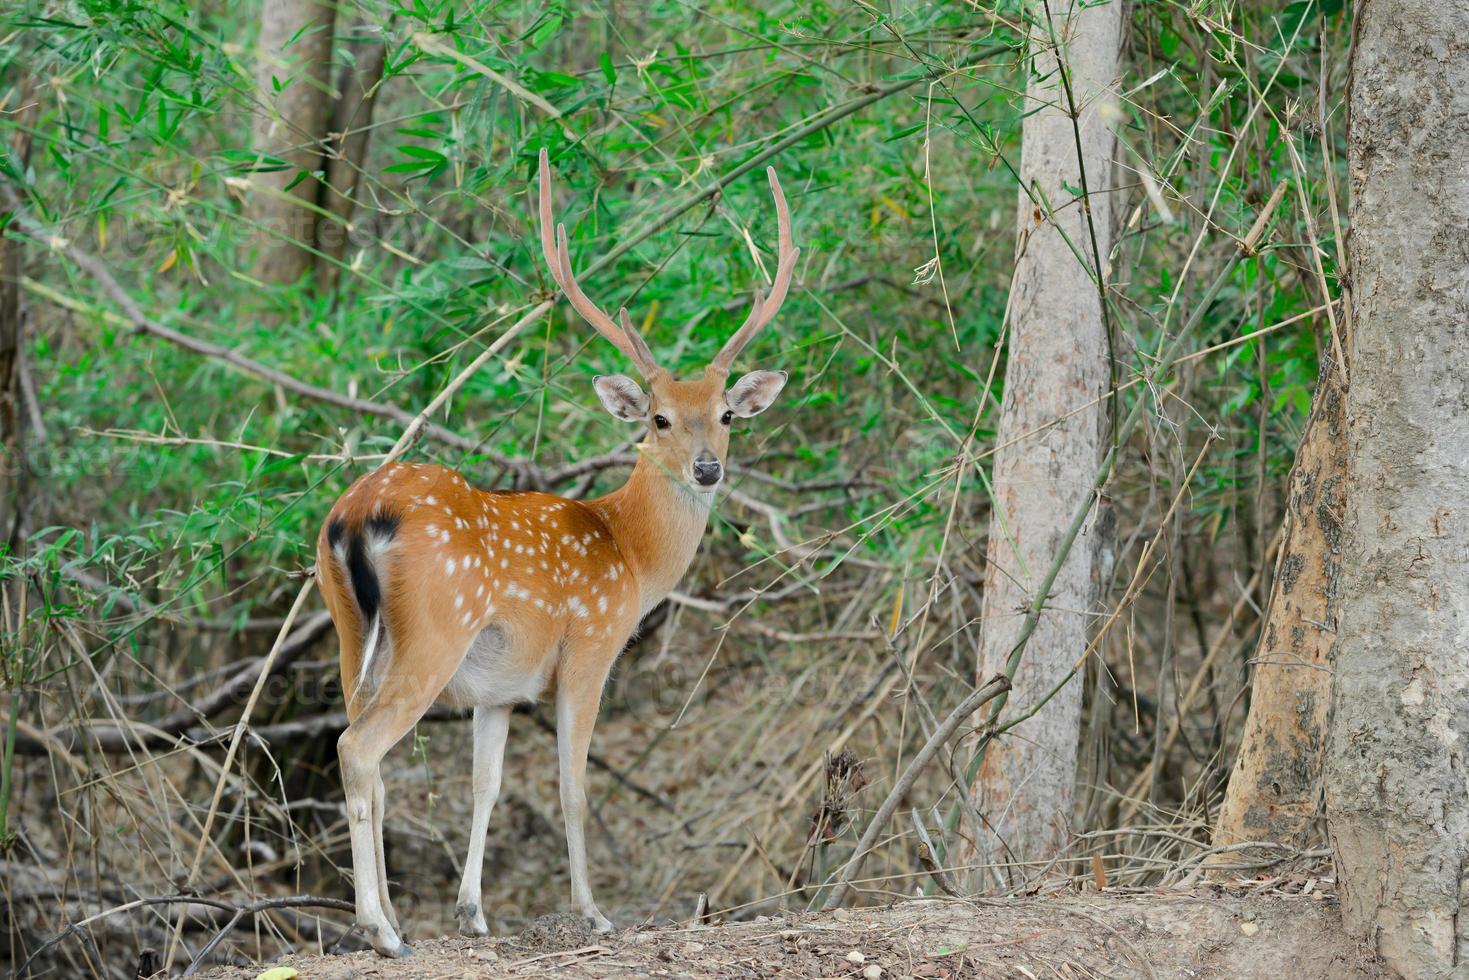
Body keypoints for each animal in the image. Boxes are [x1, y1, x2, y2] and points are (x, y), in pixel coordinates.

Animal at [315, 149, 799, 952]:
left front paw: (472, 913)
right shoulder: (591, 645)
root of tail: (359, 515)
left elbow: (486, 786)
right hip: (435, 628)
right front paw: (593, 912)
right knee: (359, 749)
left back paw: (391, 919)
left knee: (367, 754)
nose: (708, 469)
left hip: (350, 629)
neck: (631, 552)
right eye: (659, 418)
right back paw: (379, 930)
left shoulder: (498, 690)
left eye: (726, 414)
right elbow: (574, 785)